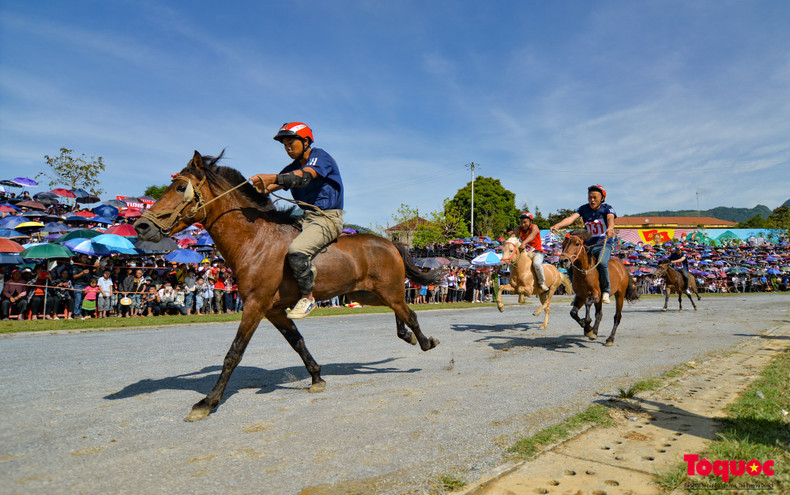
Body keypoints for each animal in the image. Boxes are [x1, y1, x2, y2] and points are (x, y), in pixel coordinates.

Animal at [134, 151, 443, 421]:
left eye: (180, 187)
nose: (140, 226)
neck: (255, 240)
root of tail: (390, 242)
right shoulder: (273, 310)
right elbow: (297, 342)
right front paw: (316, 376)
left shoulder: (255, 306)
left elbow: (234, 353)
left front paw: (208, 402)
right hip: (369, 294)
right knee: (401, 313)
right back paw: (408, 336)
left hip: (388, 290)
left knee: (410, 314)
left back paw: (426, 342)